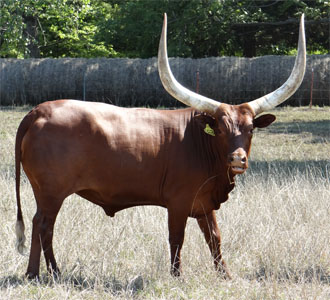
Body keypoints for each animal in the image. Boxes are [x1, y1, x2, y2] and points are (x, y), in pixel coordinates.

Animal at [14, 13, 306, 278]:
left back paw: (37, 273)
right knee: (44, 225)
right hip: (52, 191)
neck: (202, 146)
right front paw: (177, 276)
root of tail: (39, 111)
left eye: (250, 129)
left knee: (38, 223)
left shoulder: (204, 203)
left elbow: (214, 238)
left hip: (43, 192)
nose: (237, 159)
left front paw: (226, 276)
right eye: (220, 129)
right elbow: (177, 238)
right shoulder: (178, 201)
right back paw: (49, 272)